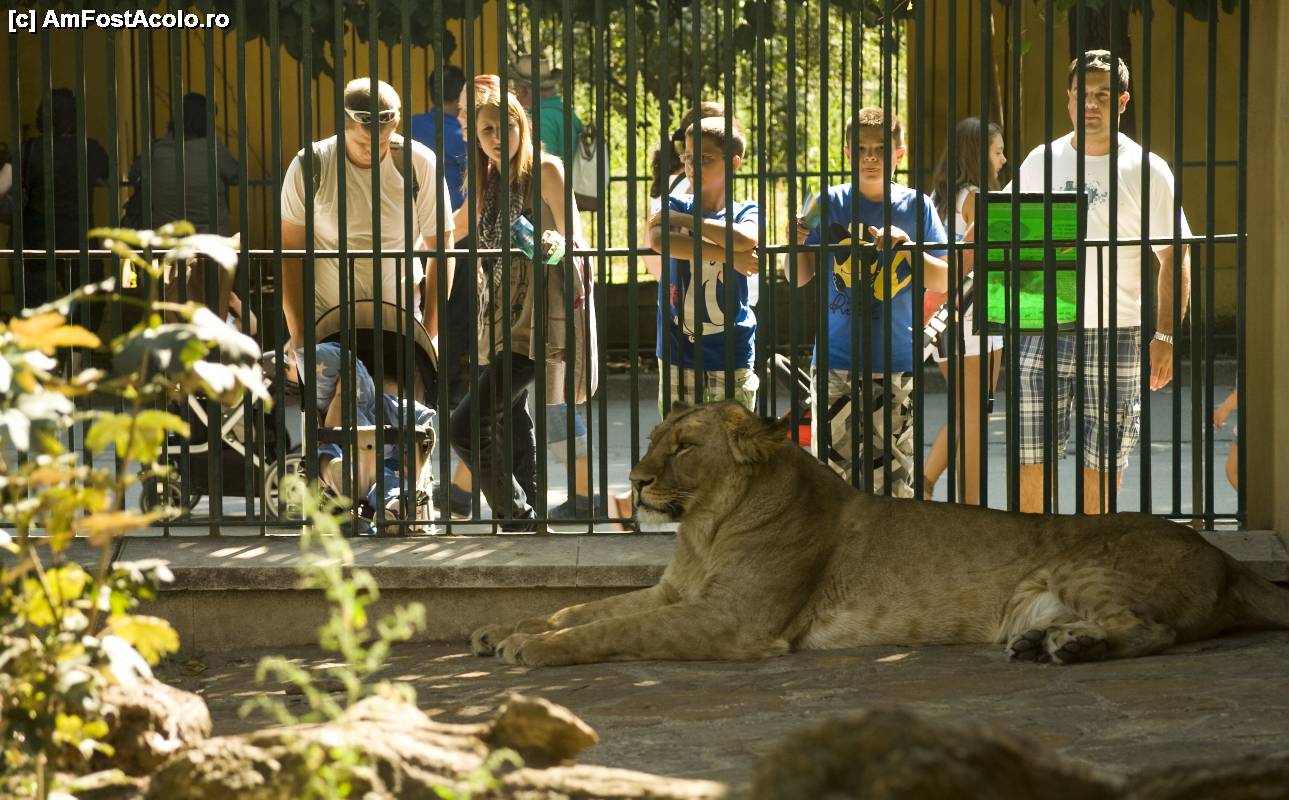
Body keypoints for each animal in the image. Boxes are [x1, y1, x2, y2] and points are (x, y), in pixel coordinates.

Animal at [471, 401, 1289, 667]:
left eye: (682, 448)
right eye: (651, 440)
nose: (636, 482)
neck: (704, 529)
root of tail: (1225, 558)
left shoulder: (736, 621)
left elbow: (610, 630)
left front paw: (532, 648)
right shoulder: (676, 592)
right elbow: (581, 606)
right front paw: (498, 630)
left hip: (1085, 568)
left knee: (1151, 630)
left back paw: (1069, 650)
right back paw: (1042, 642)